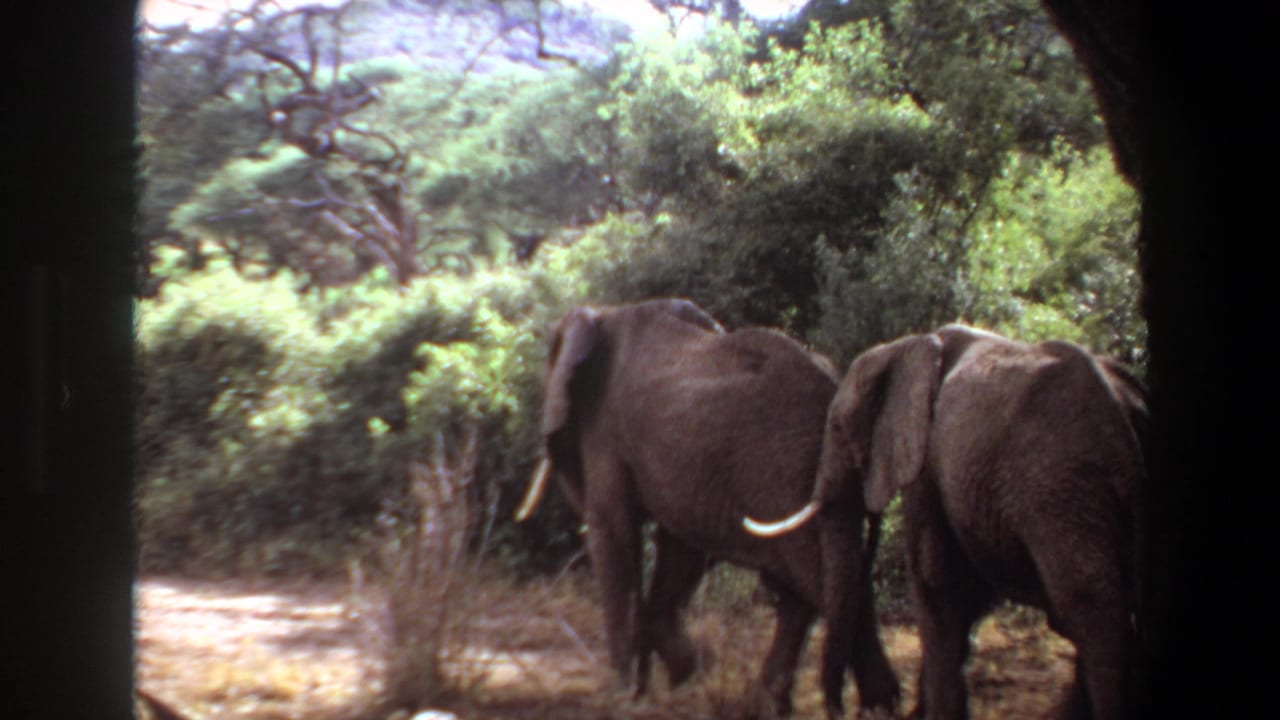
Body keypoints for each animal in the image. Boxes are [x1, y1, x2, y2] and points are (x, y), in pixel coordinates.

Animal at [516, 298, 901, 718]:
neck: (602, 314)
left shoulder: (604, 434)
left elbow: (615, 533)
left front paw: (625, 695)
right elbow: (681, 549)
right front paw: (687, 673)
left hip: (780, 474)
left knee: (812, 578)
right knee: (818, 583)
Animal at [745, 324, 1147, 720]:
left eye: (839, 427)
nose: (840, 709)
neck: (907, 347)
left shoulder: (927, 465)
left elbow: (939, 584)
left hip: (1062, 487)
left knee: (1088, 606)